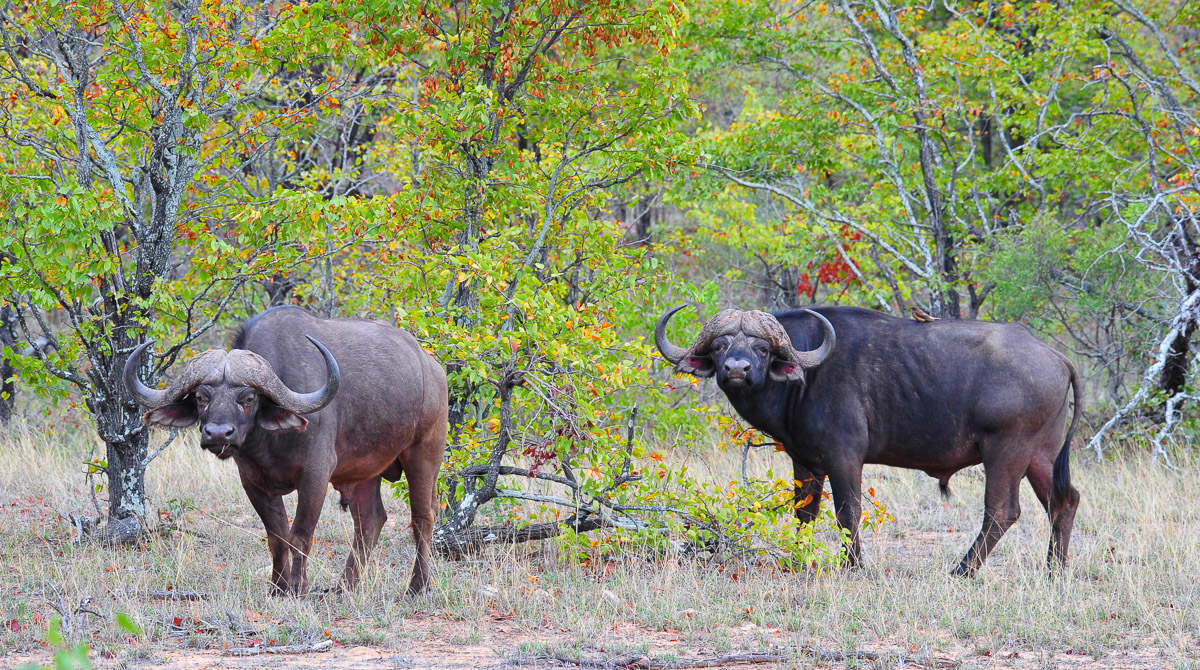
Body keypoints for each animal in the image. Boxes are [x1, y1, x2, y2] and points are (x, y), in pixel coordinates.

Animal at [124, 306, 448, 596]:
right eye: (202, 397)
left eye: (249, 398)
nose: (217, 433)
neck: (269, 444)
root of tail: (433, 367)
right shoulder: (252, 481)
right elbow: (277, 535)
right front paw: (277, 587)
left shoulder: (315, 475)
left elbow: (301, 534)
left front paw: (297, 586)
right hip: (365, 472)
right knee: (370, 520)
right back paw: (344, 588)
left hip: (424, 454)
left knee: (423, 518)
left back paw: (417, 587)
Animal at [654, 304, 1081, 576]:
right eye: (720, 346)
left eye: (761, 348)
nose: (736, 369)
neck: (806, 379)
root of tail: (1055, 356)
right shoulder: (804, 460)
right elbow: (805, 512)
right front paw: (797, 559)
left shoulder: (844, 457)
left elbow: (847, 512)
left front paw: (853, 565)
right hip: (1041, 455)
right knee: (1064, 501)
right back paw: (1054, 570)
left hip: (1006, 452)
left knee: (1002, 511)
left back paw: (962, 570)